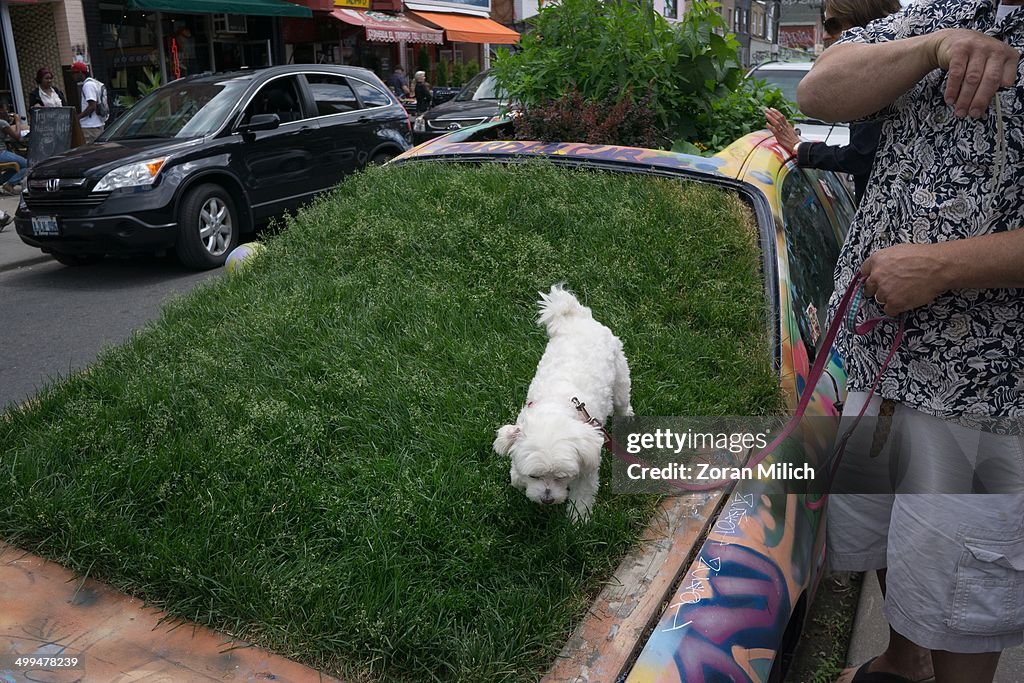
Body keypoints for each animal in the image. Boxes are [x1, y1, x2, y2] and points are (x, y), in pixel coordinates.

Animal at [493, 286, 630, 520]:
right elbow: (516, 474)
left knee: (623, 400)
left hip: (620, 374)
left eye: (562, 476)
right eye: (534, 476)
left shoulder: (587, 465)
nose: (547, 499)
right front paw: (519, 479)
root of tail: (577, 317)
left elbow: (582, 495)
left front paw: (578, 519)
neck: (554, 407)